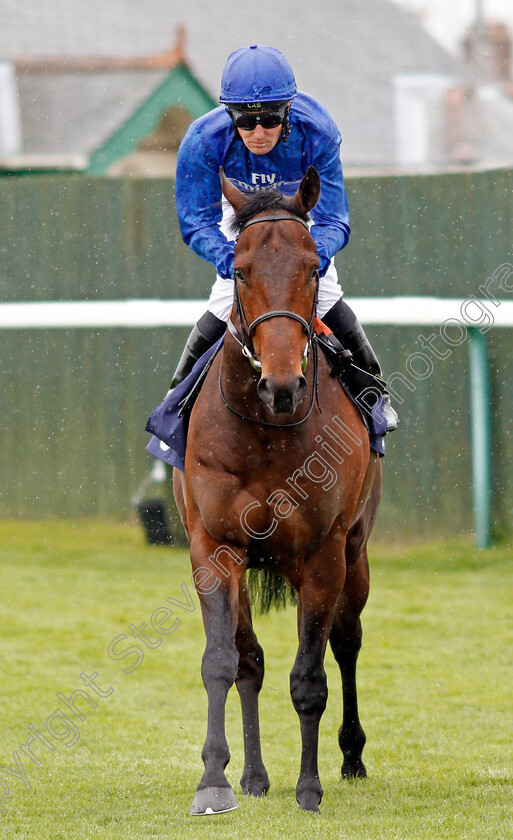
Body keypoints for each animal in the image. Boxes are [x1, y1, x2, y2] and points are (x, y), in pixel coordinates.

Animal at [174, 164, 382, 812]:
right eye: (239, 269)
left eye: (313, 266)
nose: (283, 384)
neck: (266, 431)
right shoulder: (214, 548)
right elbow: (224, 661)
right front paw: (215, 779)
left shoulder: (322, 554)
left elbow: (310, 676)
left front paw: (309, 787)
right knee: (252, 661)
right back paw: (254, 775)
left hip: (355, 555)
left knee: (346, 640)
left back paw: (350, 756)